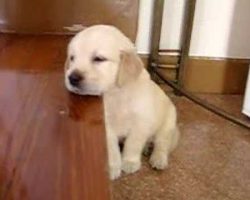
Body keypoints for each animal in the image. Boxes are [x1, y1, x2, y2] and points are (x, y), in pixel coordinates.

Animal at [64, 24, 180, 180]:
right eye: (72, 58)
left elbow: (133, 144)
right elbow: (111, 148)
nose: (72, 78)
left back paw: (158, 159)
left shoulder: (141, 123)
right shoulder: (106, 127)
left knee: (162, 144)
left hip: (167, 124)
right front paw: (112, 167)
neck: (116, 93)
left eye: (98, 59)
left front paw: (130, 163)